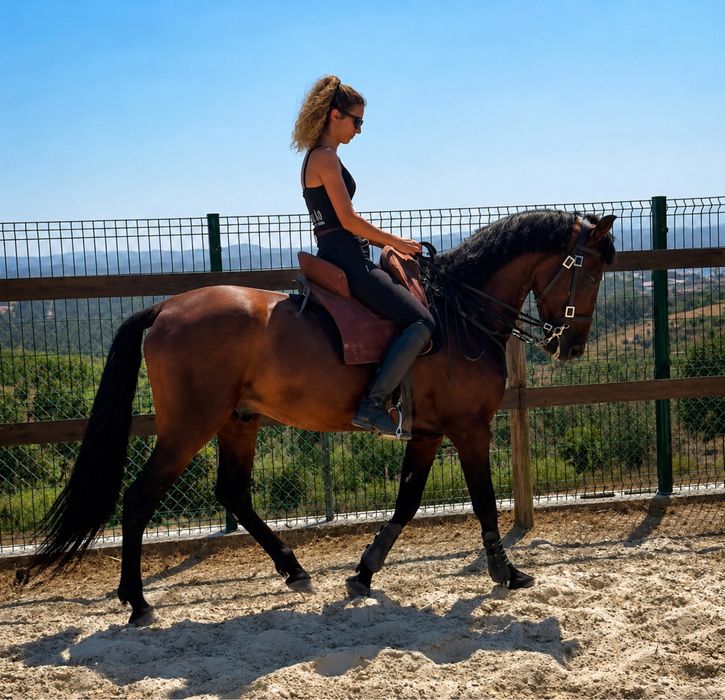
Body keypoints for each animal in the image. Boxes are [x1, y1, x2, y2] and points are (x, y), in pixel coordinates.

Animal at [31, 209, 616, 626]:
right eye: (589, 271)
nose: (571, 346)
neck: (460, 313)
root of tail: (164, 308)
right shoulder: (469, 428)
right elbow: (485, 504)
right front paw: (506, 572)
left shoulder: (427, 433)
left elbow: (405, 504)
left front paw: (363, 573)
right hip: (189, 427)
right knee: (139, 498)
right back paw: (137, 601)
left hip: (238, 420)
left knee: (233, 492)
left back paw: (293, 570)